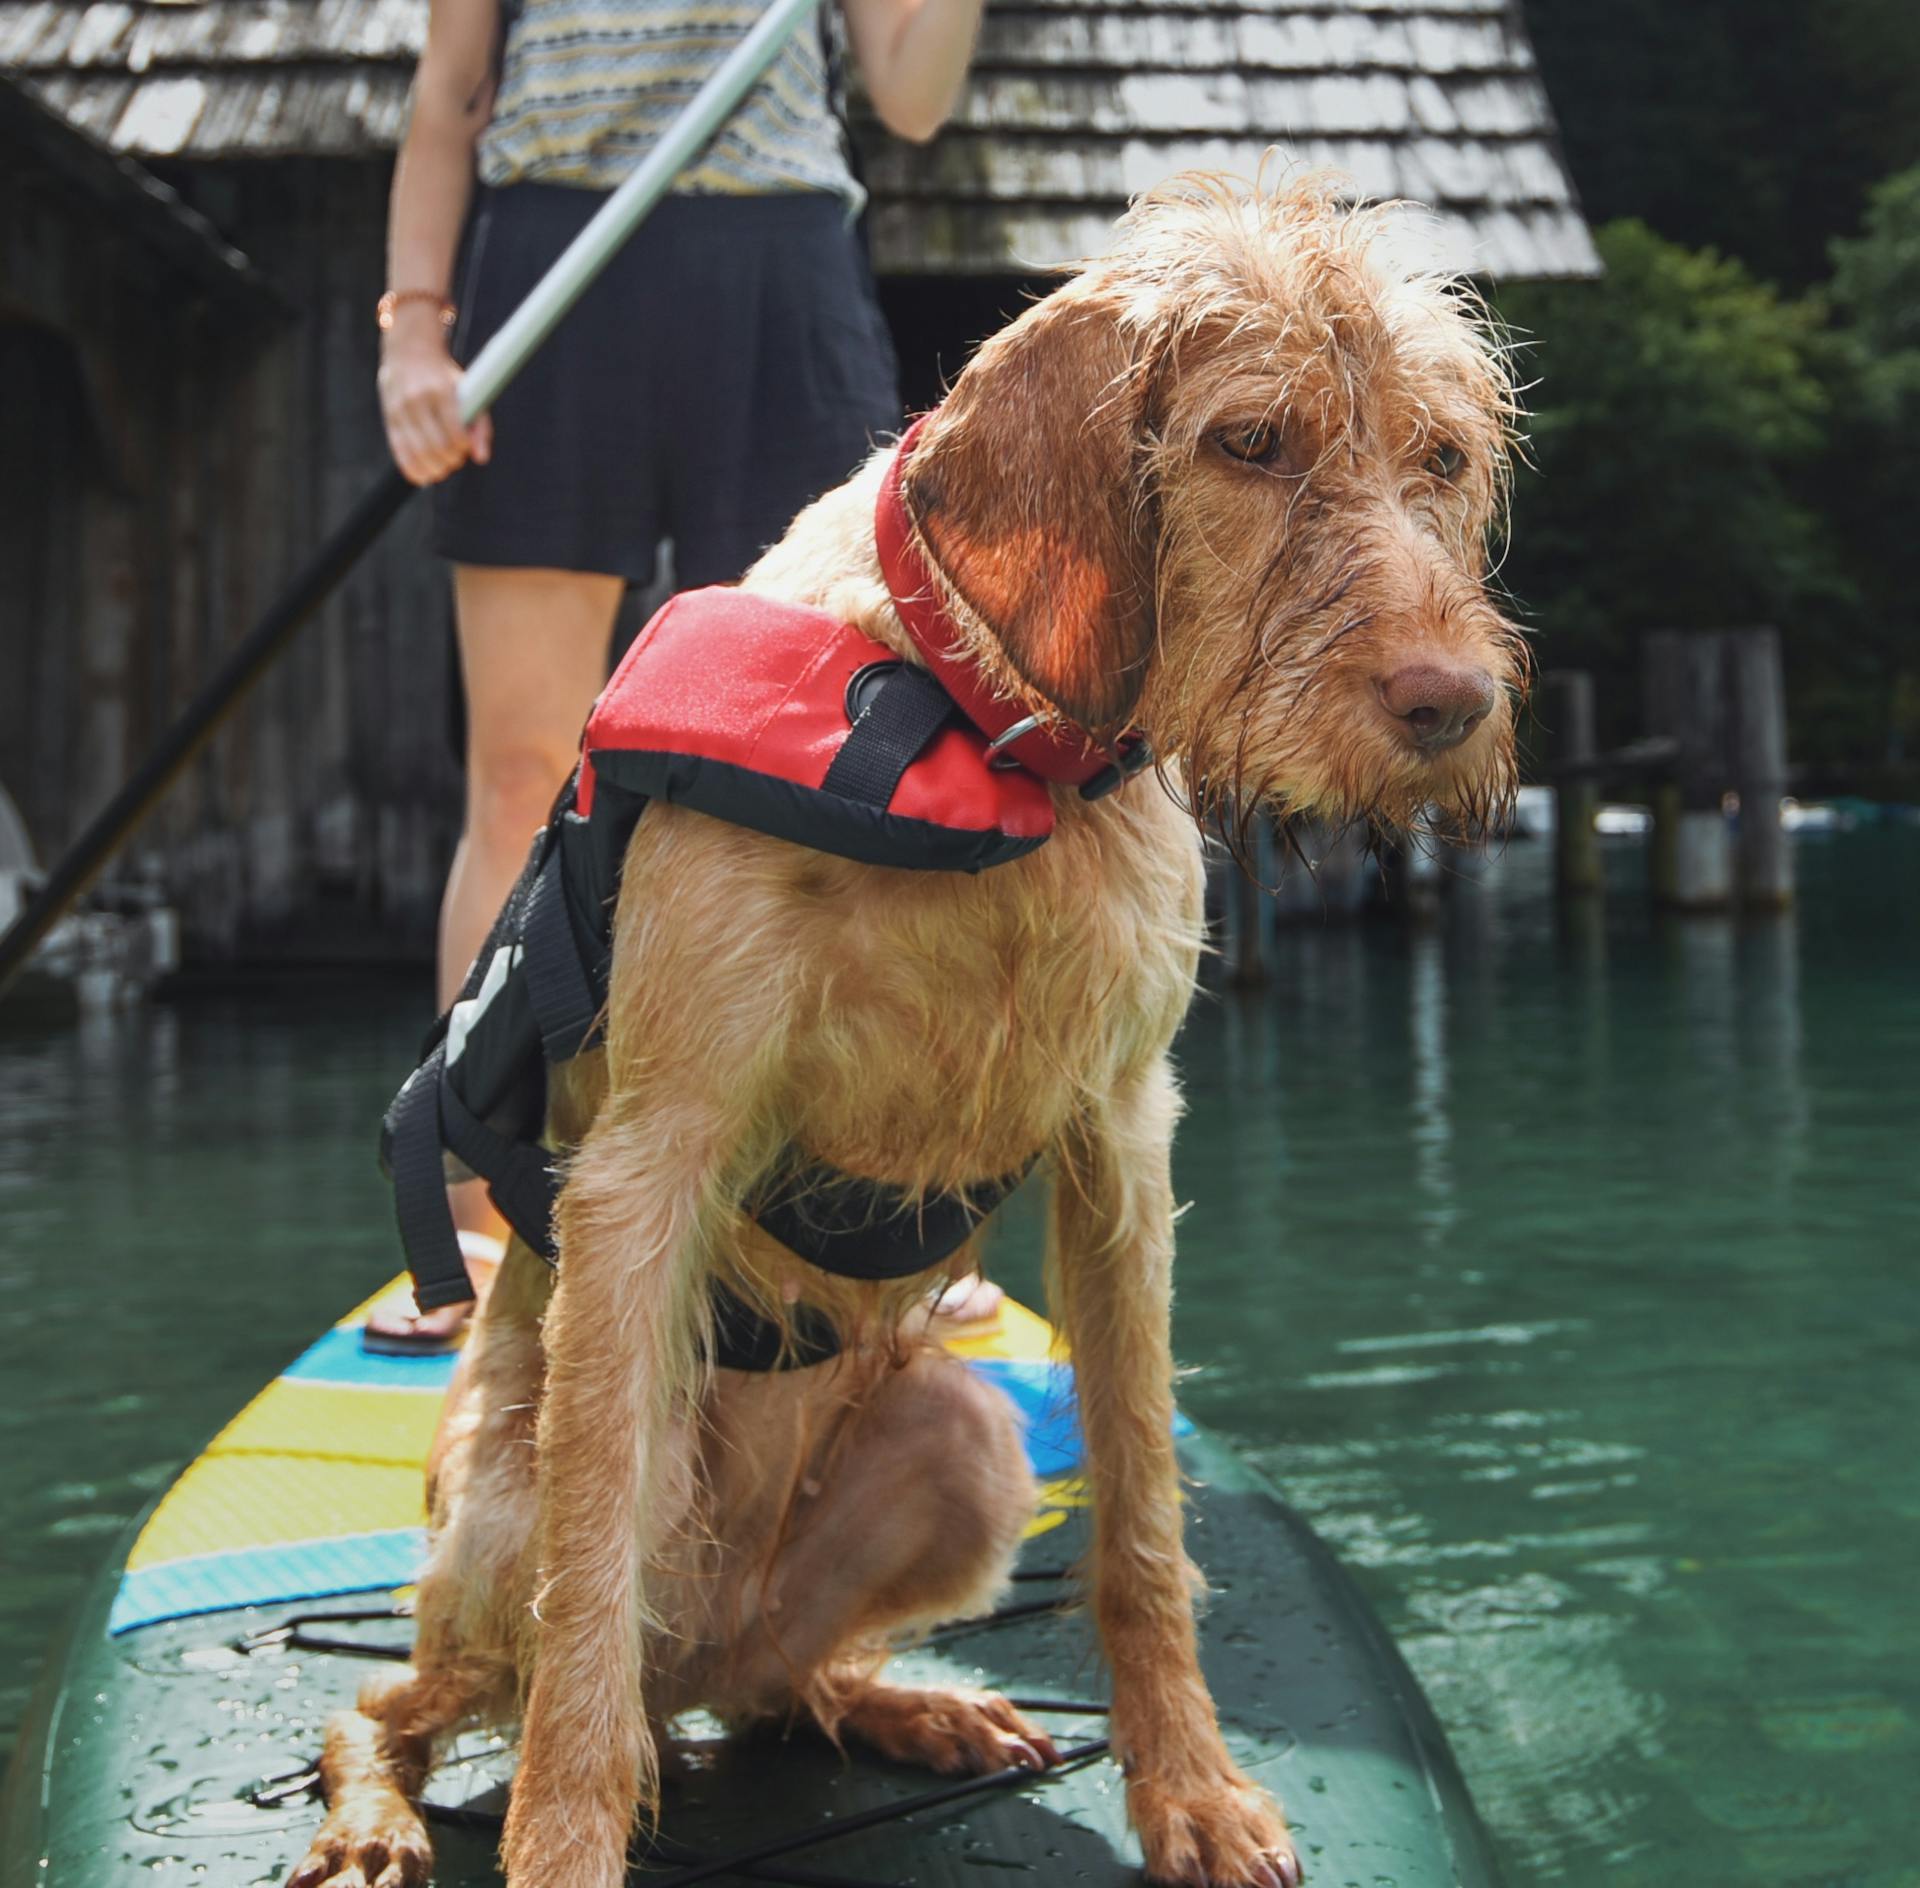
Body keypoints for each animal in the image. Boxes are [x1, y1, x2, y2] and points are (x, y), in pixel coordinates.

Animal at [291, 176, 1520, 1888]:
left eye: (1443, 459)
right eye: (1251, 442)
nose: (1453, 703)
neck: (973, 733)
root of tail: (705, 1650)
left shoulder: (1122, 1144)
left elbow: (1144, 1522)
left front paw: (1190, 1790)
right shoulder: (652, 1166)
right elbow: (584, 1624)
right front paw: (563, 1848)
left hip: (958, 1437)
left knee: (777, 1684)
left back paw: (904, 1705)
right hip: (515, 1517)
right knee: (432, 1694)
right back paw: (376, 1816)